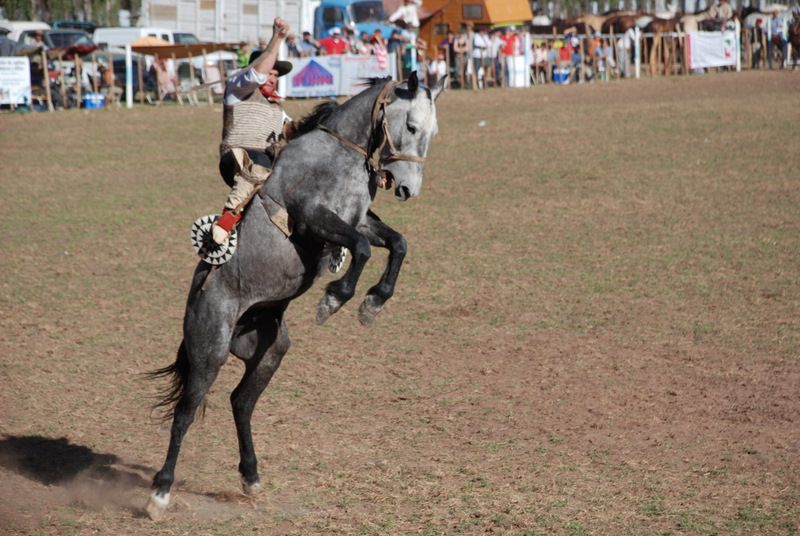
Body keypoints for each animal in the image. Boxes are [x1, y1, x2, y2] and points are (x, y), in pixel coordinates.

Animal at [142, 71, 444, 520]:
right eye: (410, 126)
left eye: (432, 131)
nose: (408, 188)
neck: (339, 151)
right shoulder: (314, 220)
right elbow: (363, 250)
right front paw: (334, 299)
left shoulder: (358, 220)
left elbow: (397, 244)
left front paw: (372, 303)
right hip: (209, 350)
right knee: (185, 413)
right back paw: (159, 494)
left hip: (270, 350)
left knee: (240, 402)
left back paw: (251, 477)